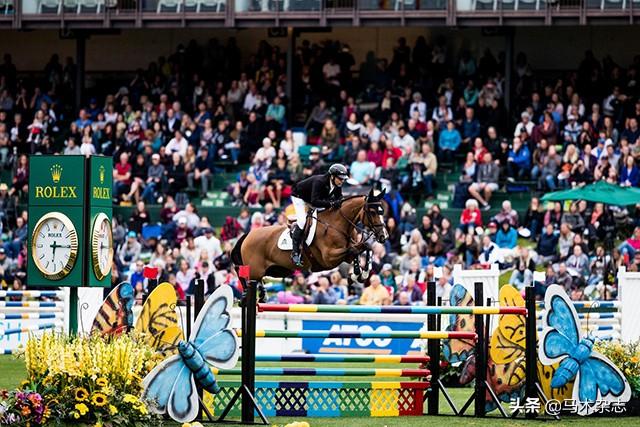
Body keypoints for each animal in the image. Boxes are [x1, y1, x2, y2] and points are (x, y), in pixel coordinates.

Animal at [231, 189, 388, 282]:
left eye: (383, 210)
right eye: (372, 212)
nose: (384, 236)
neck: (339, 224)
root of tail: (248, 235)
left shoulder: (346, 255)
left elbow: (364, 248)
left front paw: (361, 273)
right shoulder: (329, 258)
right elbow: (355, 249)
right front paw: (358, 273)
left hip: (276, 270)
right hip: (254, 271)